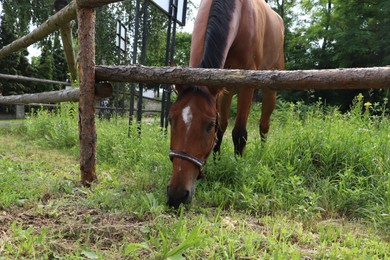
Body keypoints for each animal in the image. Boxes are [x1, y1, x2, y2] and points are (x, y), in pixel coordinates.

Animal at [167, 0, 284, 207]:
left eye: (208, 125)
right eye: (171, 120)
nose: (177, 195)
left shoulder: (247, 82)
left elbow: (239, 134)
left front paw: (237, 166)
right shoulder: (221, 83)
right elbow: (221, 129)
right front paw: (216, 162)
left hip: (270, 86)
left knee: (264, 125)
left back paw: (262, 153)